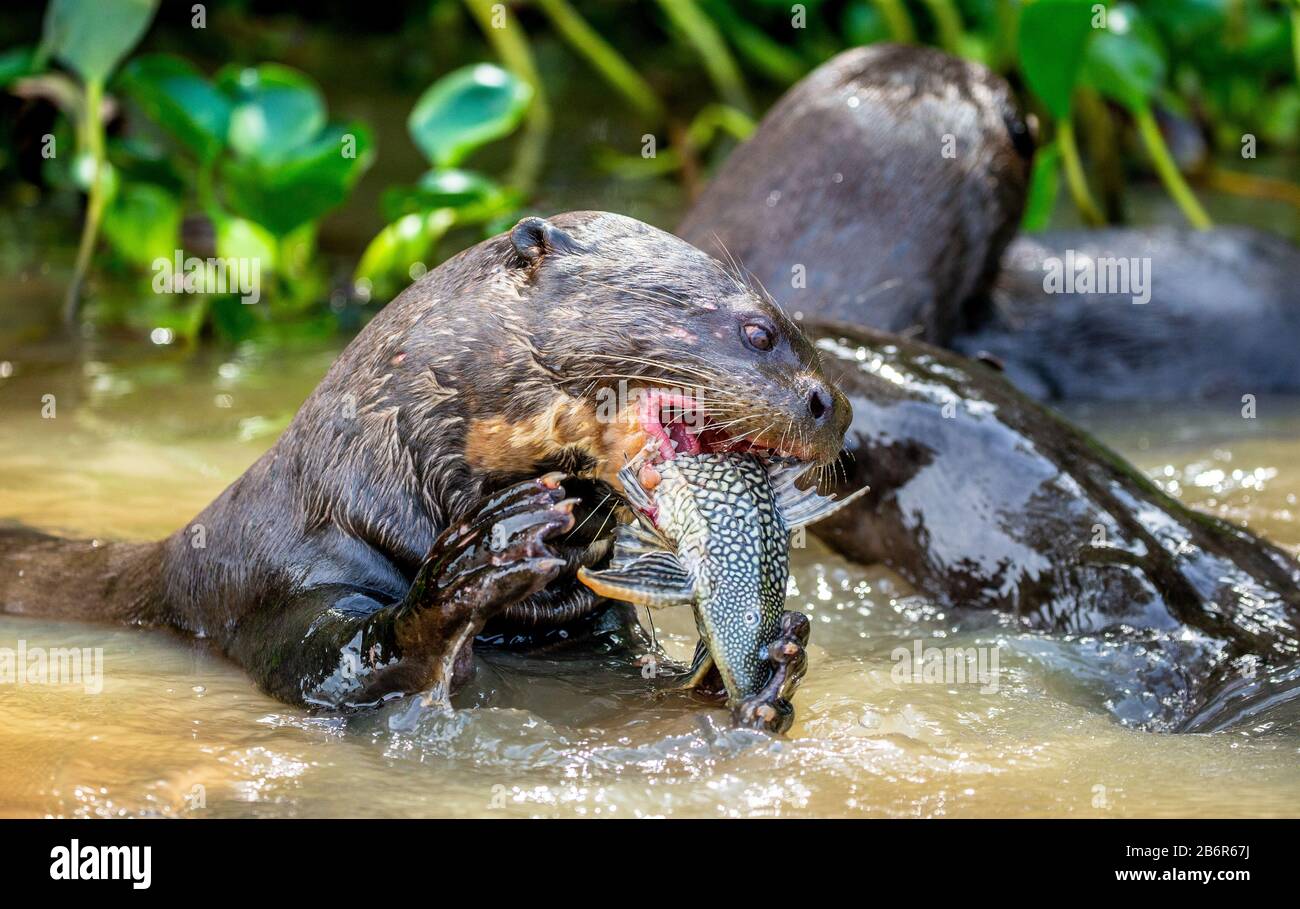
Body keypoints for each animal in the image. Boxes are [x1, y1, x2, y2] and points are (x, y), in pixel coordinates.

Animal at [0, 211, 852, 733]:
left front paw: (777, 661)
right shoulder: (285, 584)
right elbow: (337, 667)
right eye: (758, 331)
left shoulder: (590, 633)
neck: (361, 485)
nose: (835, 405)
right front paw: (473, 564)